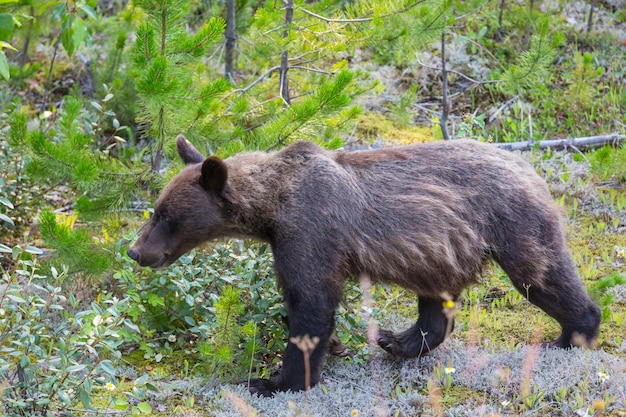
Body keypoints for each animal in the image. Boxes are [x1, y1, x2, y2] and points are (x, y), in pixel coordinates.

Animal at [127, 136, 600, 396]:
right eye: (156, 210)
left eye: (167, 217)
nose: (135, 251)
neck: (272, 207)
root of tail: (530, 166)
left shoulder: (311, 231)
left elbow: (311, 302)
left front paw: (273, 381)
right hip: (438, 249)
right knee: (436, 303)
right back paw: (397, 340)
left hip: (512, 223)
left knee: (541, 275)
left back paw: (570, 336)